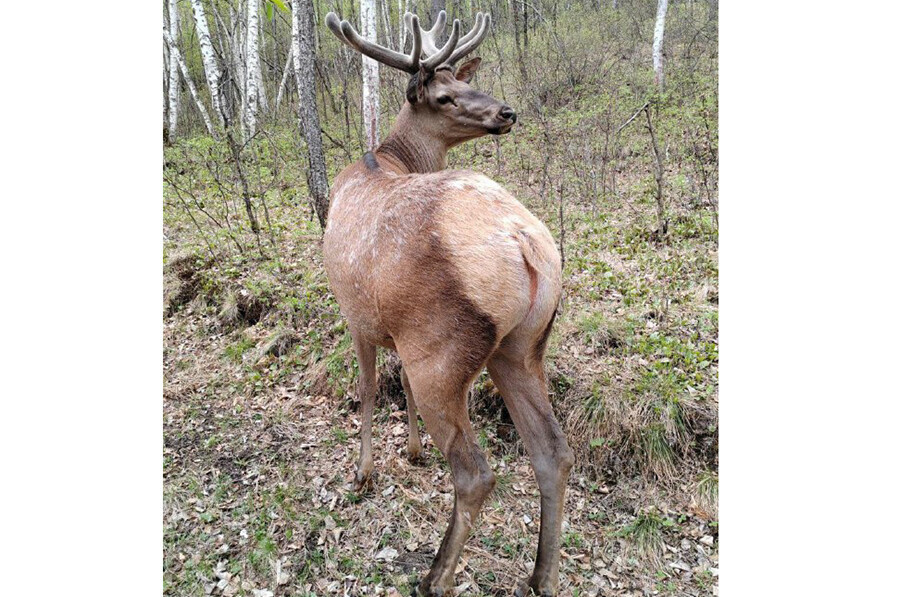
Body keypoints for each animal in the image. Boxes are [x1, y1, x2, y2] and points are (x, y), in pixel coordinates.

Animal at [324, 10, 576, 596]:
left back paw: (436, 576)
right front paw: (413, 452)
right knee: (553, 451)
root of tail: (525, 243)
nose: (506, 111)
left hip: (441, 351)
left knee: (476, 473)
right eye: (445, 95)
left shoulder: (356, 315)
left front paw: (364, 472)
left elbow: (369, 388)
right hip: (523, 345)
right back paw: (541, 576)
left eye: (459, 85)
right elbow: (397, 390)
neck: (385, 159)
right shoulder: (392, 327)